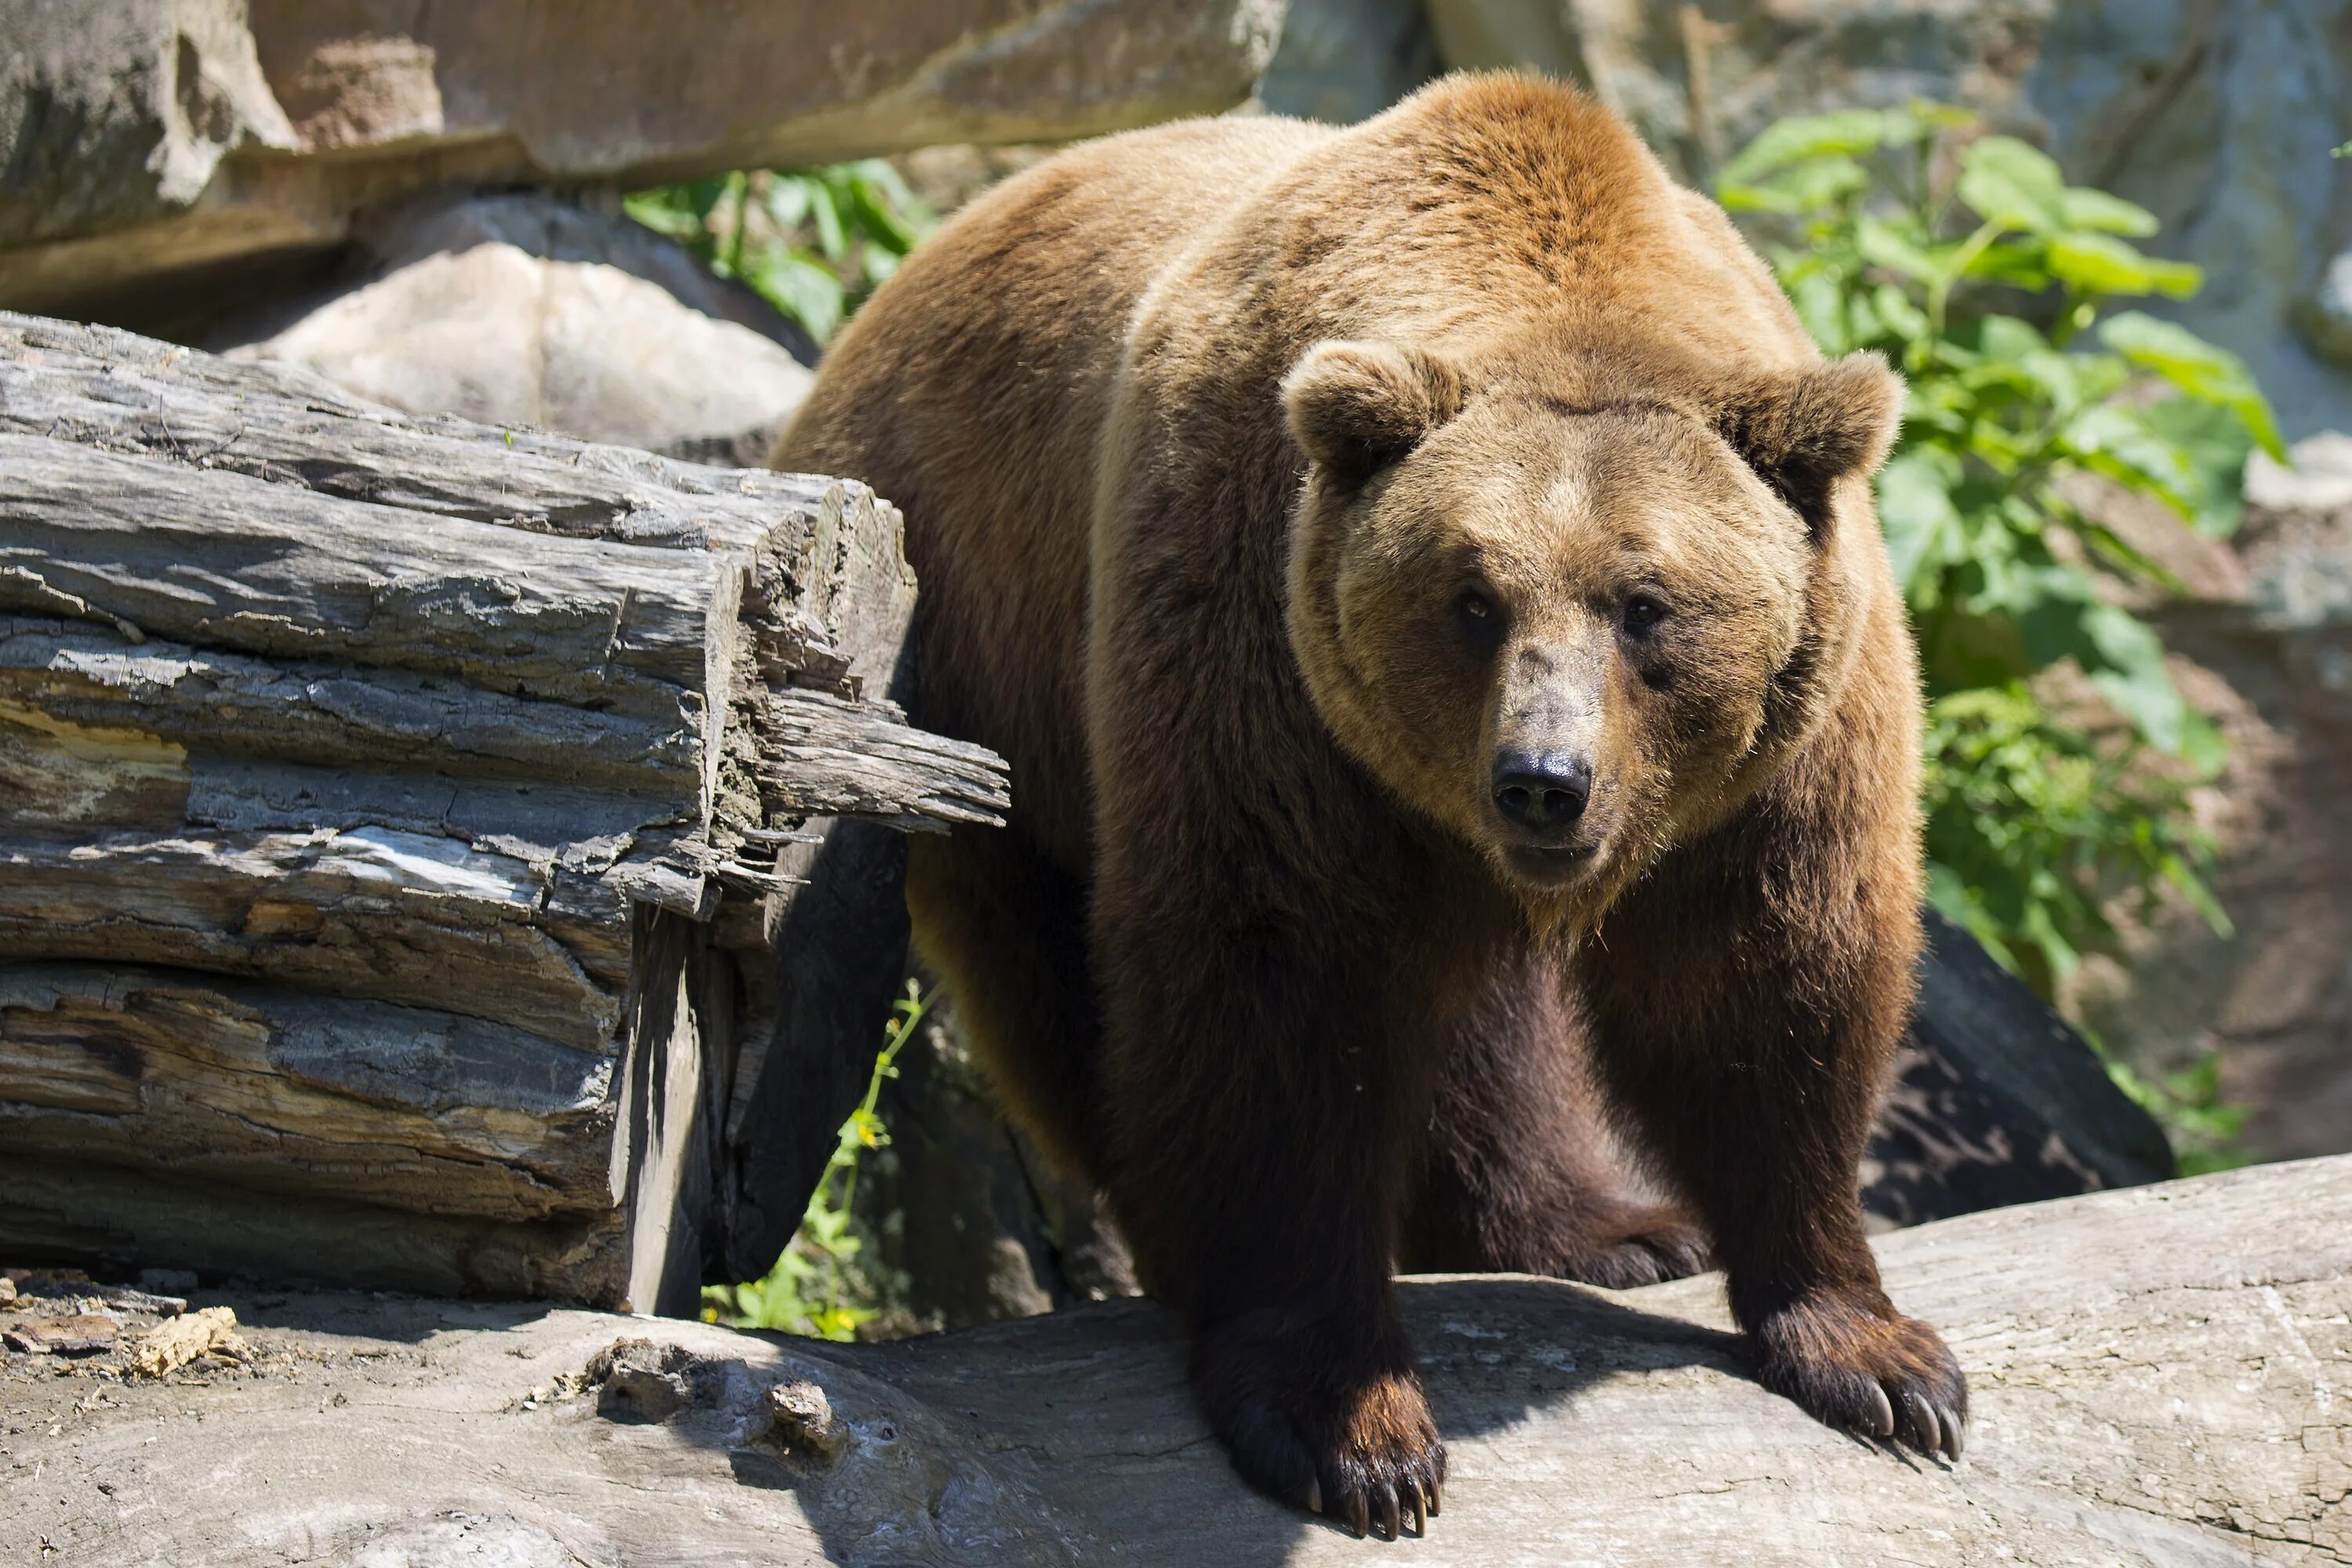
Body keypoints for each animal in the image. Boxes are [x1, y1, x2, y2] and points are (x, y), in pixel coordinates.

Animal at [776, 70, 1966, 1533]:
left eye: (1647, 604)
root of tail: (863, 325)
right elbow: (1279, 989)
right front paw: (1347, 1425)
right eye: (1471, 598)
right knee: (1064, 983)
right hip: (981, 669)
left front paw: (1879, 1357)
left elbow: (1768, 983)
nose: (1544, 784)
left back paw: (1608, 1227)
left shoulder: (1781, 758)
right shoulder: (1258, 649)